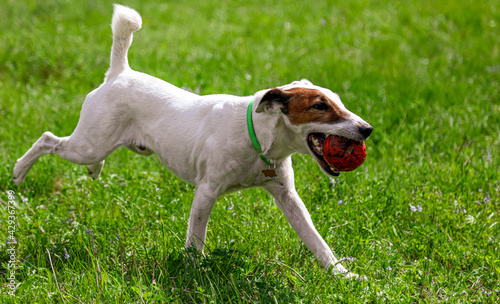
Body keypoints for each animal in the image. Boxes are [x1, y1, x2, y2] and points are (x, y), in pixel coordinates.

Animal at [13, 4, 372, 276]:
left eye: (339, 102)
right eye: (320, 106)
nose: (367, 129)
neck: (258, 138)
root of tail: (120, 72)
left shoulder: (288, 198)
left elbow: (316, 240)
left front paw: (342, 274)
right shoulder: (206, 193)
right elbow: (196, 239)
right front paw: (194, 269)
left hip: (96, 142)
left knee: (81, 152)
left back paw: (94, 170)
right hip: (86, 146)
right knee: (48, 139)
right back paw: (19, 171)